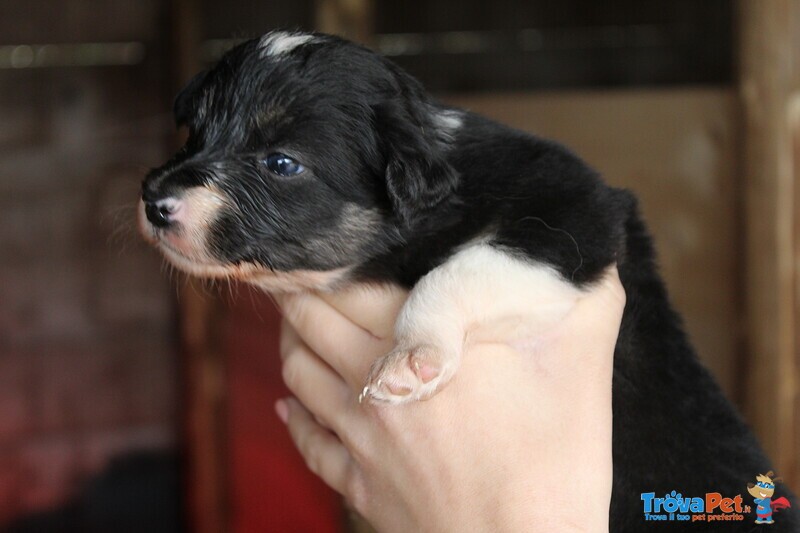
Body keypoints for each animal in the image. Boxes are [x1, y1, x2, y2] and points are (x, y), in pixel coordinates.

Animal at [141, 31, 796, 528]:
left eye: (281, 163)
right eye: (195, 133)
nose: (154, 200)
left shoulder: (573, 221)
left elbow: (460, 268)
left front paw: (410, 358)